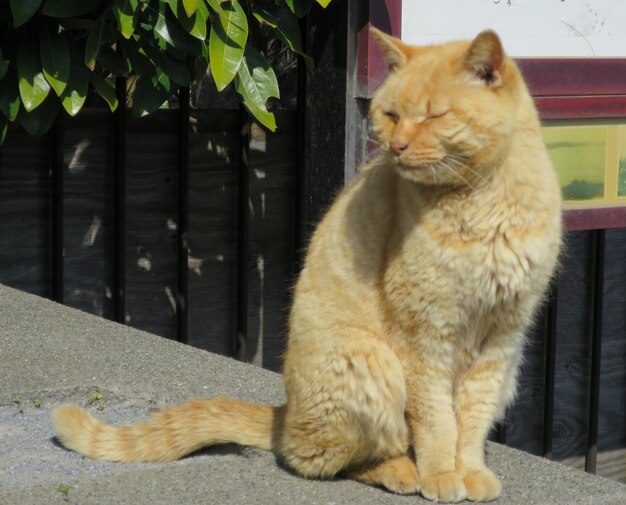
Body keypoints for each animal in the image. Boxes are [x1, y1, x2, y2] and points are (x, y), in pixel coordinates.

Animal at [52, 26, 560, 500]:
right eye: (392, 115)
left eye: (435, 115)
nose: (396, 146)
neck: (484, 202)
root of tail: (286, 413)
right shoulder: (425, 336)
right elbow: (437, 420)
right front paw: (440, 475)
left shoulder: (501, 341)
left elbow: (470, 419)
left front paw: (469, 471)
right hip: (369, 361)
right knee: (325, 458)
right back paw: (402, 470)